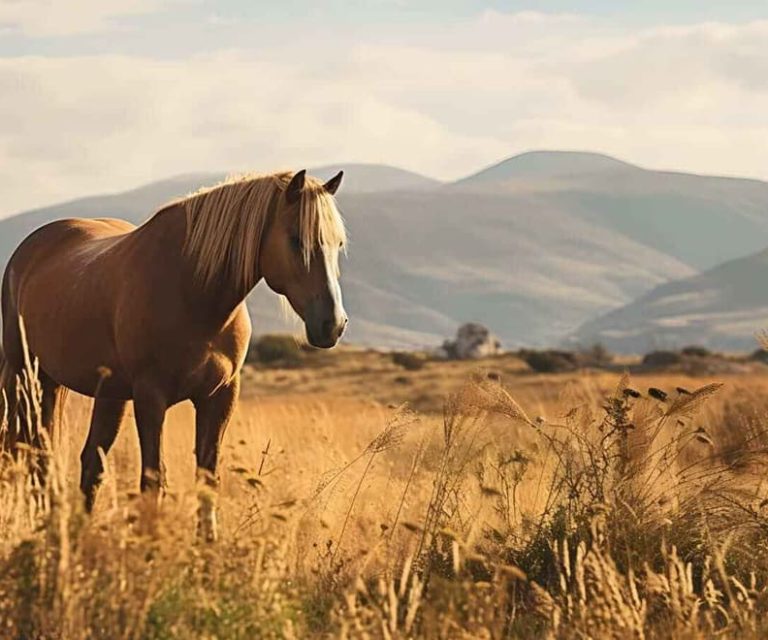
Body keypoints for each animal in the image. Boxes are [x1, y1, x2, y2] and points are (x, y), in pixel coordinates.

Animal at [0, 169, 348, 539]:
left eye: (338, 244)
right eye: (296, 240)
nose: (333, 324)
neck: (192, 292)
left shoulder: (220, 397)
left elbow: (207, 479)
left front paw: (207, 547)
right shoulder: (151, 398)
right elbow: (153, 480)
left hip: (92, 391)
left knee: (84, 460)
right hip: (27, 378)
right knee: (35, 453)